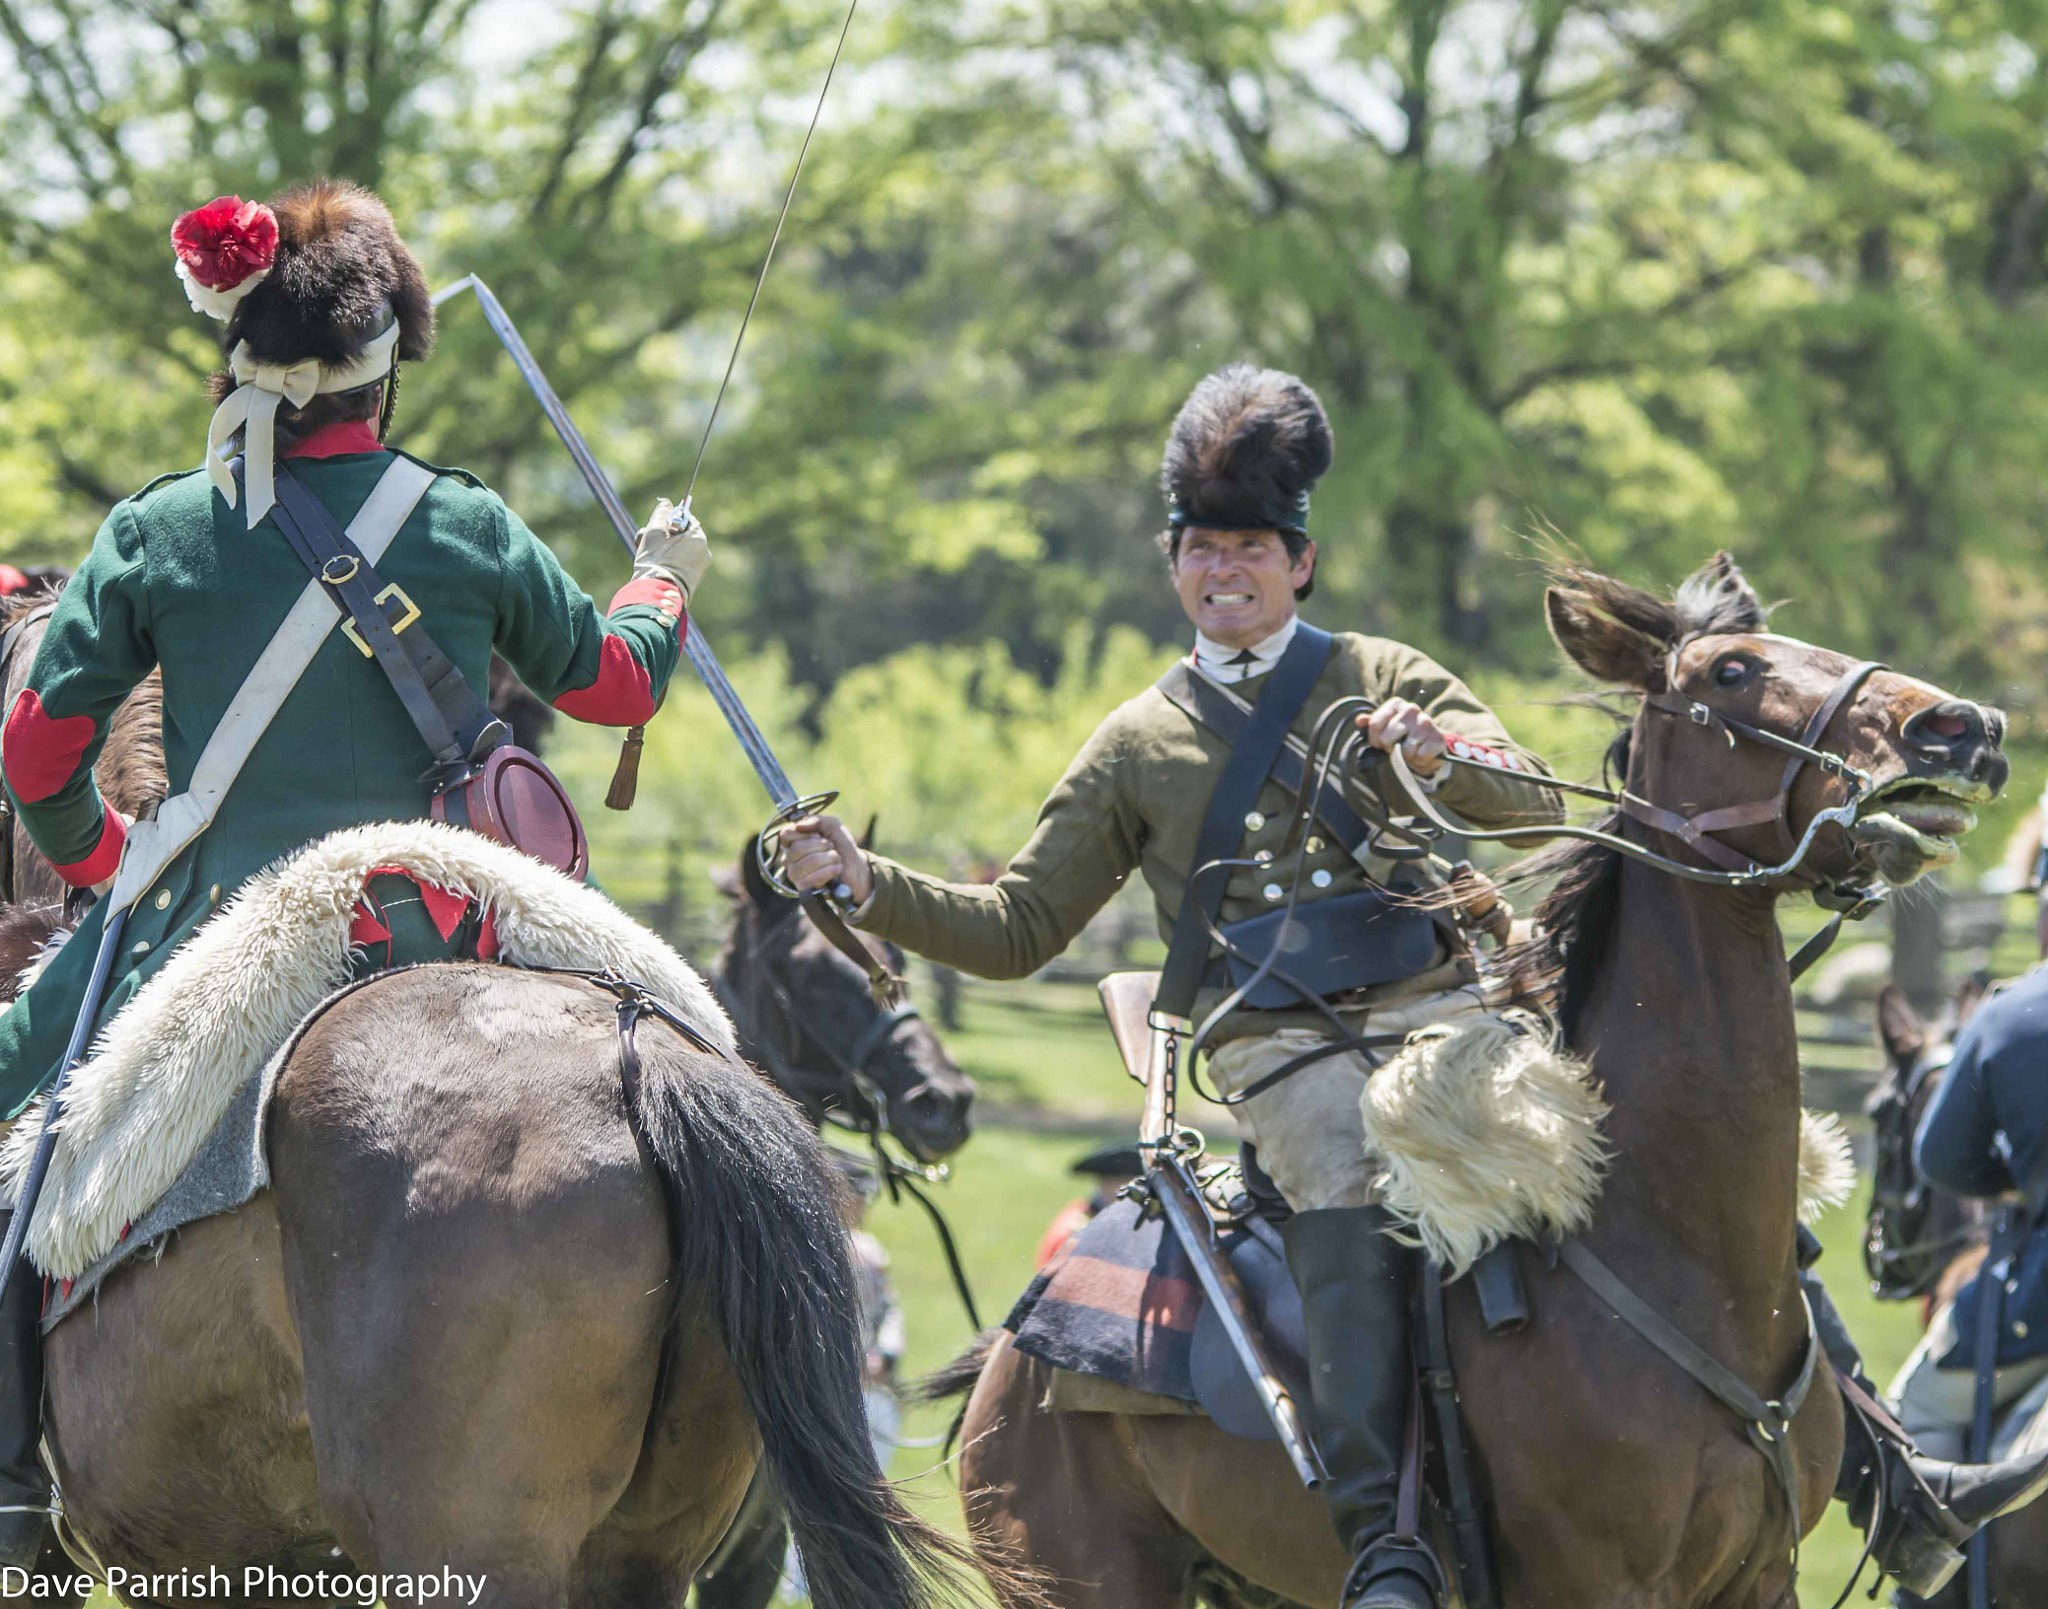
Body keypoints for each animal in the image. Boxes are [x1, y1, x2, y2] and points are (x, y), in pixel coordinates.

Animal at [937, 556, 2007, 1604]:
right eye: (1731, 671)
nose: (1962, 728)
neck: (1673, 1249)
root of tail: (1014, 1347)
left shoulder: (1761, 1579)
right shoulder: (1595, 1588)